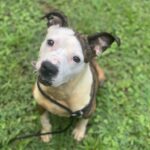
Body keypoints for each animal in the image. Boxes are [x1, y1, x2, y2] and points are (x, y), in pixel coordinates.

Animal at [32, 11, 119, 142]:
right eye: (50, 42)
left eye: (76, 59)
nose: (48, 67)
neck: (60, 92)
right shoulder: (40, 105)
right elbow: (44, 120)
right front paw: (46, 132)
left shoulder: (89, 110)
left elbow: (83, 121)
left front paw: (79, 132)